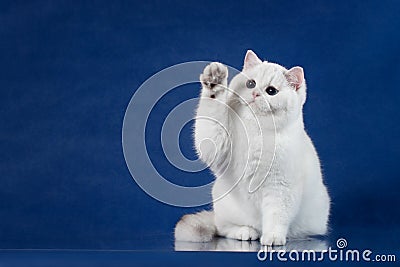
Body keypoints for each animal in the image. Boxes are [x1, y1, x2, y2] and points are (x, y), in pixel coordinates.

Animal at [174, 50, 328, 247]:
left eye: (271, 91)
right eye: (250, 84)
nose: (255, 93)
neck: (256, 130)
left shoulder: (280, 188)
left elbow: (276, 217)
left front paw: (272, 238)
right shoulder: (217, 143)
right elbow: (213, 105)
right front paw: (215, 81)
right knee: (223, 229)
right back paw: (246, 232)